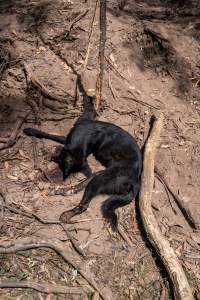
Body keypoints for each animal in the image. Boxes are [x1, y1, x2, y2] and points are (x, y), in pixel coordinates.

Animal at [23, 96, 142, 230]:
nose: (53, 155)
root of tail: (135, 182)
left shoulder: (67, 138)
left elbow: (50, 135)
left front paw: (31, 131)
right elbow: (89, 108)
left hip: (102, 179)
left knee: (83, 205)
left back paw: (66, 214)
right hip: (101, 175)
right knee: (85, 181)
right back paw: (63, 191)